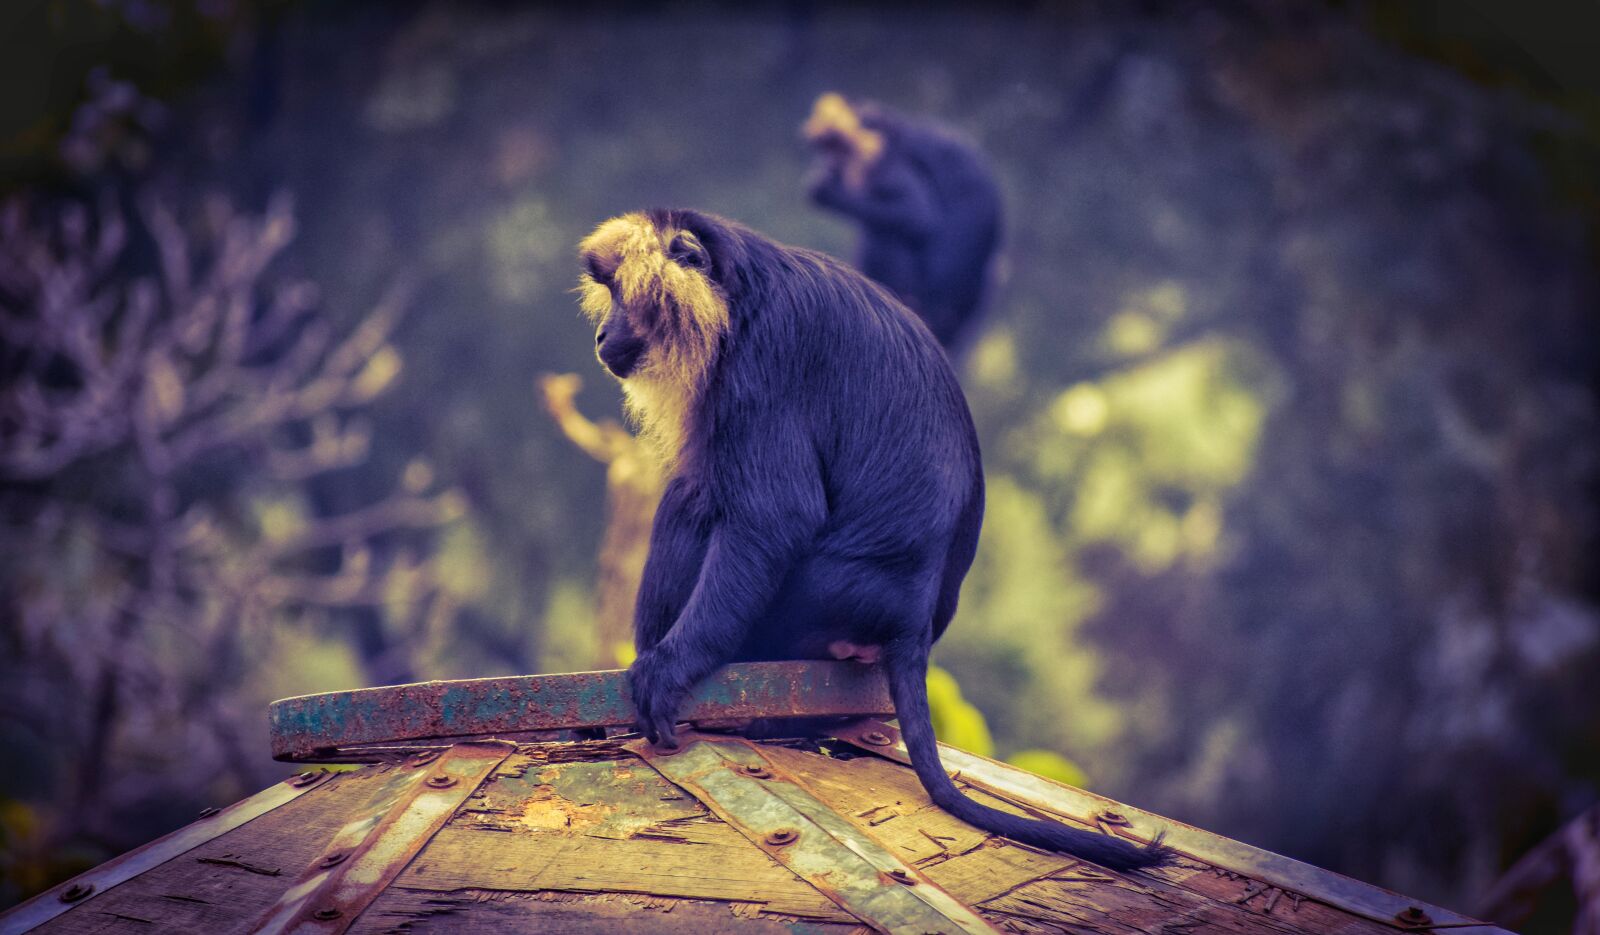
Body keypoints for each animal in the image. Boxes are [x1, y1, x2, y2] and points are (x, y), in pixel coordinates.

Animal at [577, 208, 1166, 872]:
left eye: (623, 296)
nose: (602, 336)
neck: (742, 293)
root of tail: (909, 622)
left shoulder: (762, 362)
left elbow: (776, 516)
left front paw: (668, 669)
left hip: (801, 611)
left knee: (695, 498)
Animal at [802, 93, 1002, 358]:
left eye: (838, 149)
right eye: (828, 150)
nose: (829, 163)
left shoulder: (884, 163)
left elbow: (918, 217)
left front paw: (828, 192)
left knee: (884, 235)